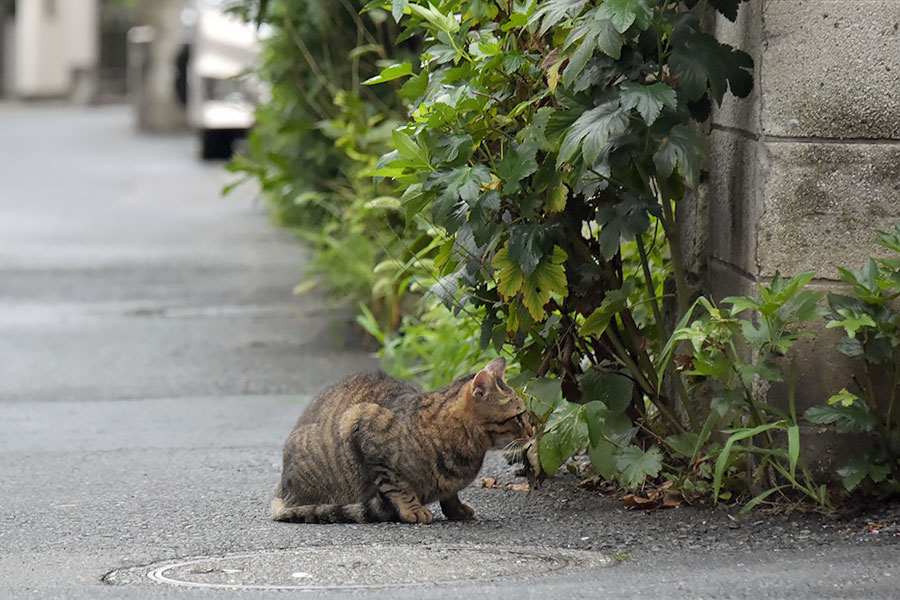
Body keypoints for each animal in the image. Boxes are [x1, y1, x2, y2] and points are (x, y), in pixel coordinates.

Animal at [270, 358, 532, 524]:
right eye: (519, 415)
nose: (532, 431)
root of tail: (282, 491)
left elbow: (450, 493)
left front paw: (456, 508)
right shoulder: (363, 426)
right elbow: (398, 485)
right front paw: (413, 509)